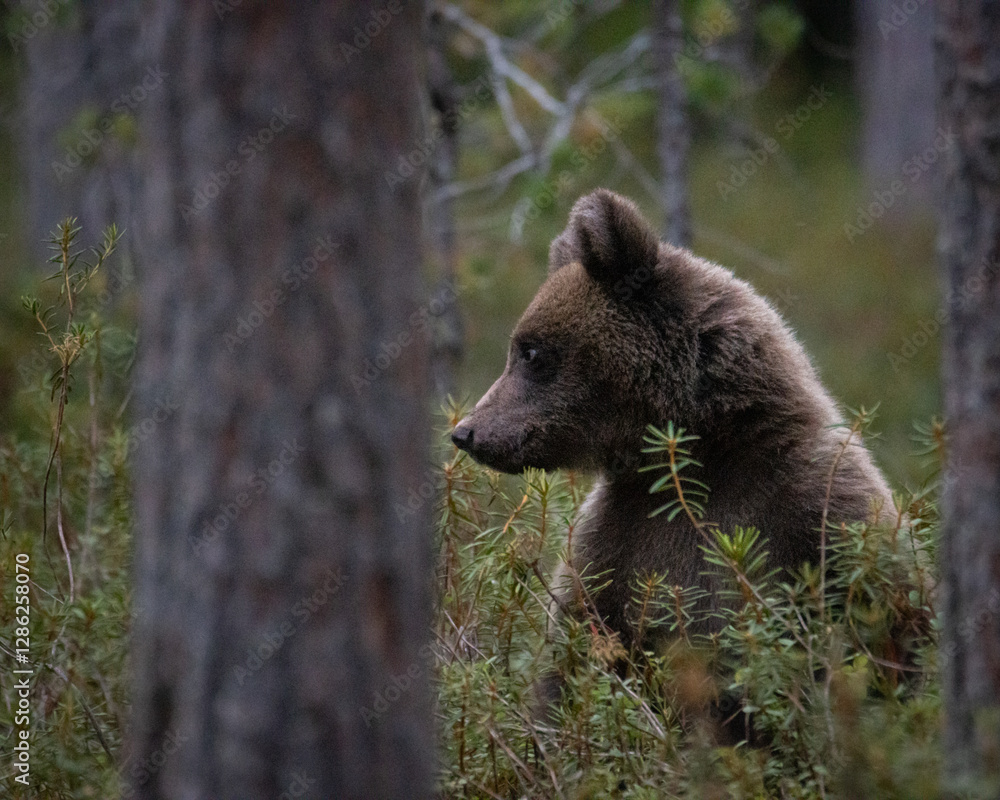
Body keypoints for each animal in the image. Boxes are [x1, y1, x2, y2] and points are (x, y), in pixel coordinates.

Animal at [450, 188, 897, 674]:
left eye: (529, 351)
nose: (465, 432)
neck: (696, 456)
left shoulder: (817, 517)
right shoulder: (614, 541)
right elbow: (575, 649)